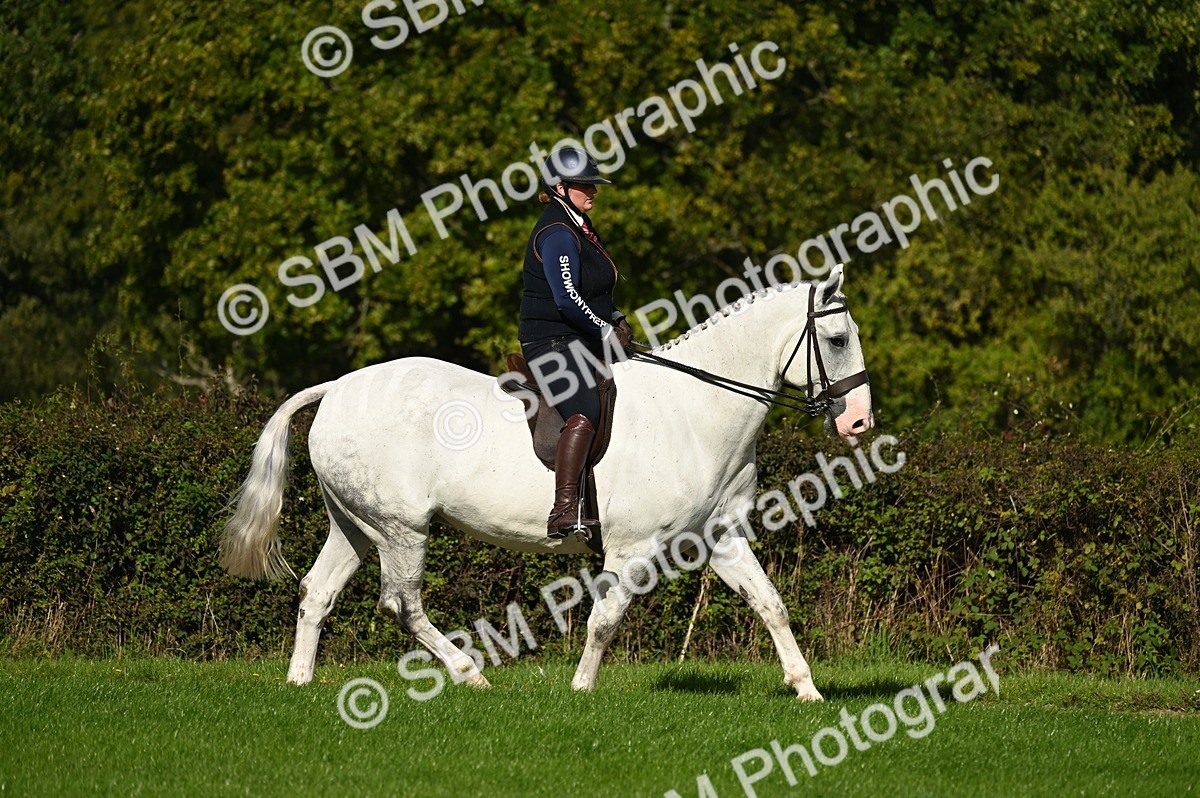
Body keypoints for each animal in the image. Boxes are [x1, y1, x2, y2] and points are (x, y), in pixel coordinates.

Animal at [219, 264, 873, 701]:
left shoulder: (721, 538)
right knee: (401, 604)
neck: (695, 411)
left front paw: (806, 689)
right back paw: (470, 674)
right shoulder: (633, 549)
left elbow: (772, 605)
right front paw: (581, 689)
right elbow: (605, 619)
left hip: (354, 525)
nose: (859, 423)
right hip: (402, 529)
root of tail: (337, 387)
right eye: (838, 340)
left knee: (317, 592)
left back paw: (299, 681)